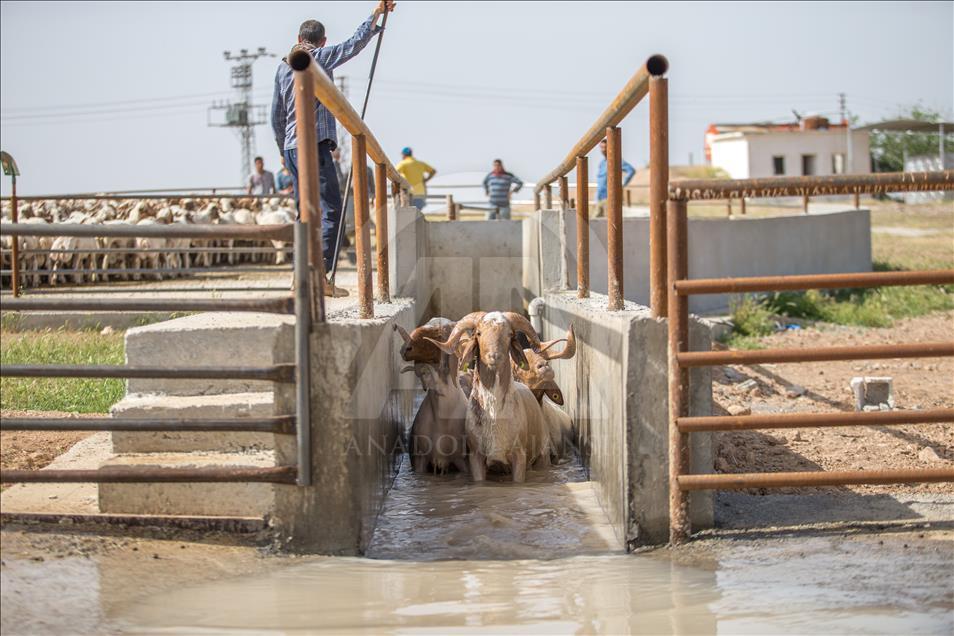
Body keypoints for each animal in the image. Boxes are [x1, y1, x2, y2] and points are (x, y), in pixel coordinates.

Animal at [426, 312, 572, 482]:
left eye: (509, 334)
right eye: (478, 333)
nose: (494, 356)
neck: (495, 415)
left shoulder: (519, 457)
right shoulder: (476, 457)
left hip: (542, 456)